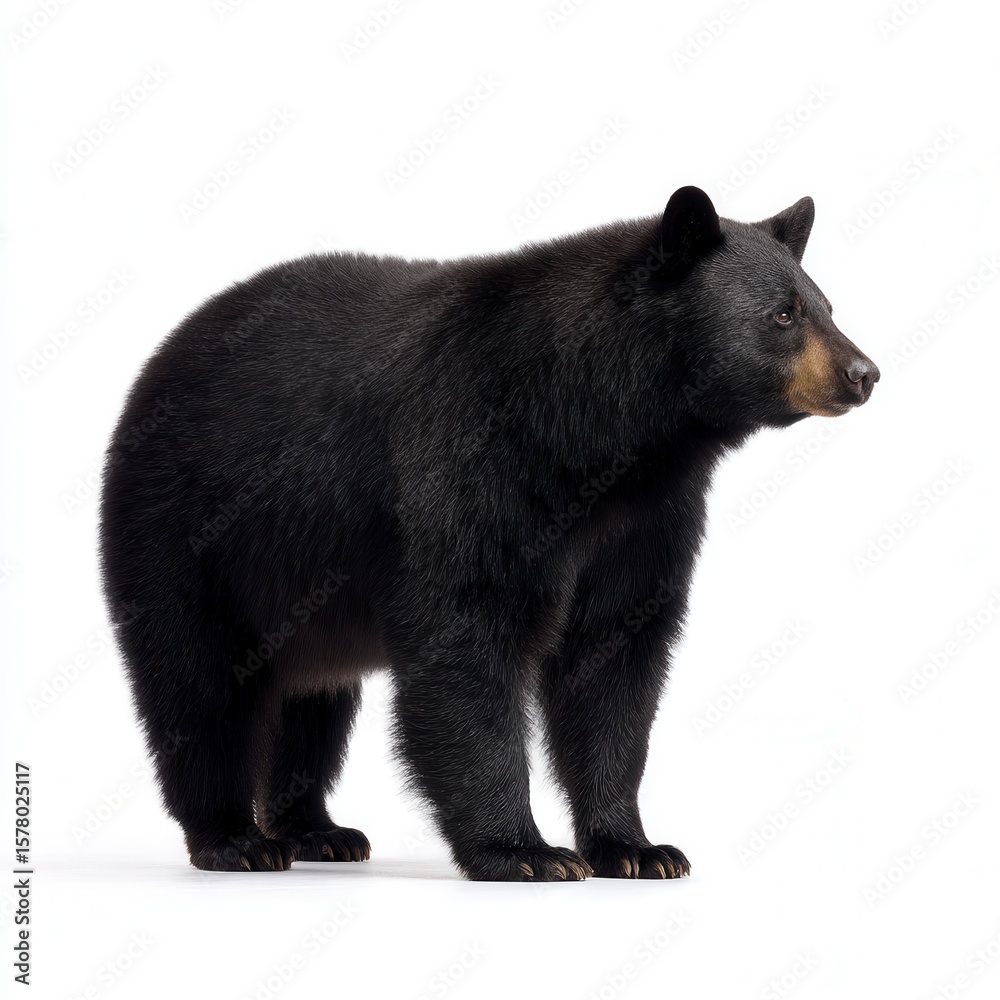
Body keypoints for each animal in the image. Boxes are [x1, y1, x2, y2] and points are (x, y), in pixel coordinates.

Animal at [98, 185, 879, 881]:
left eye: (827, 306)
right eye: (784, 314)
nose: (863, 372)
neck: (602, 434)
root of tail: (160, 358)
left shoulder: (645, 520)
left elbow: (614, 657)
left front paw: (636, 847)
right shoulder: (474, 459)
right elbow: (467, 641)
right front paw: (523, 851)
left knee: (312, 699)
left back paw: (318, 830)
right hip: (188, 528)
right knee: (198, 682)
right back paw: (234, 839)